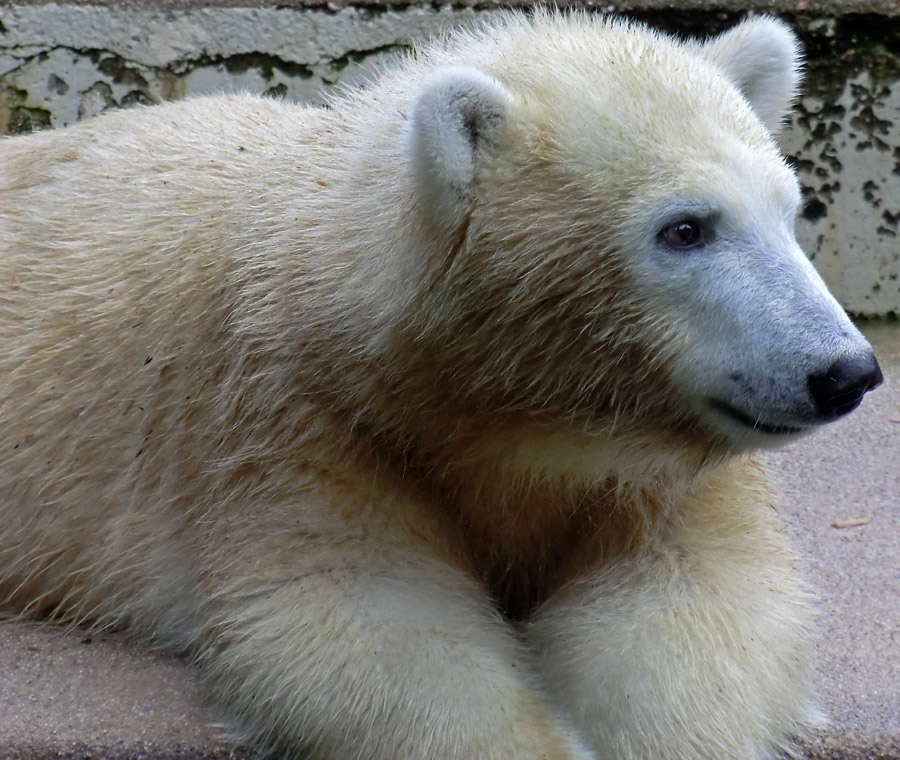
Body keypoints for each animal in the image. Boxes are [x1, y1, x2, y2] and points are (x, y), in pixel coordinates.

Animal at [0, 11, 880, 760]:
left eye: (789, 210)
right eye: (686, 228)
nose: (846, 372)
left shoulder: (658, 477)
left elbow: (700, 608)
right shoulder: (295, 419)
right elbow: (355, 618)